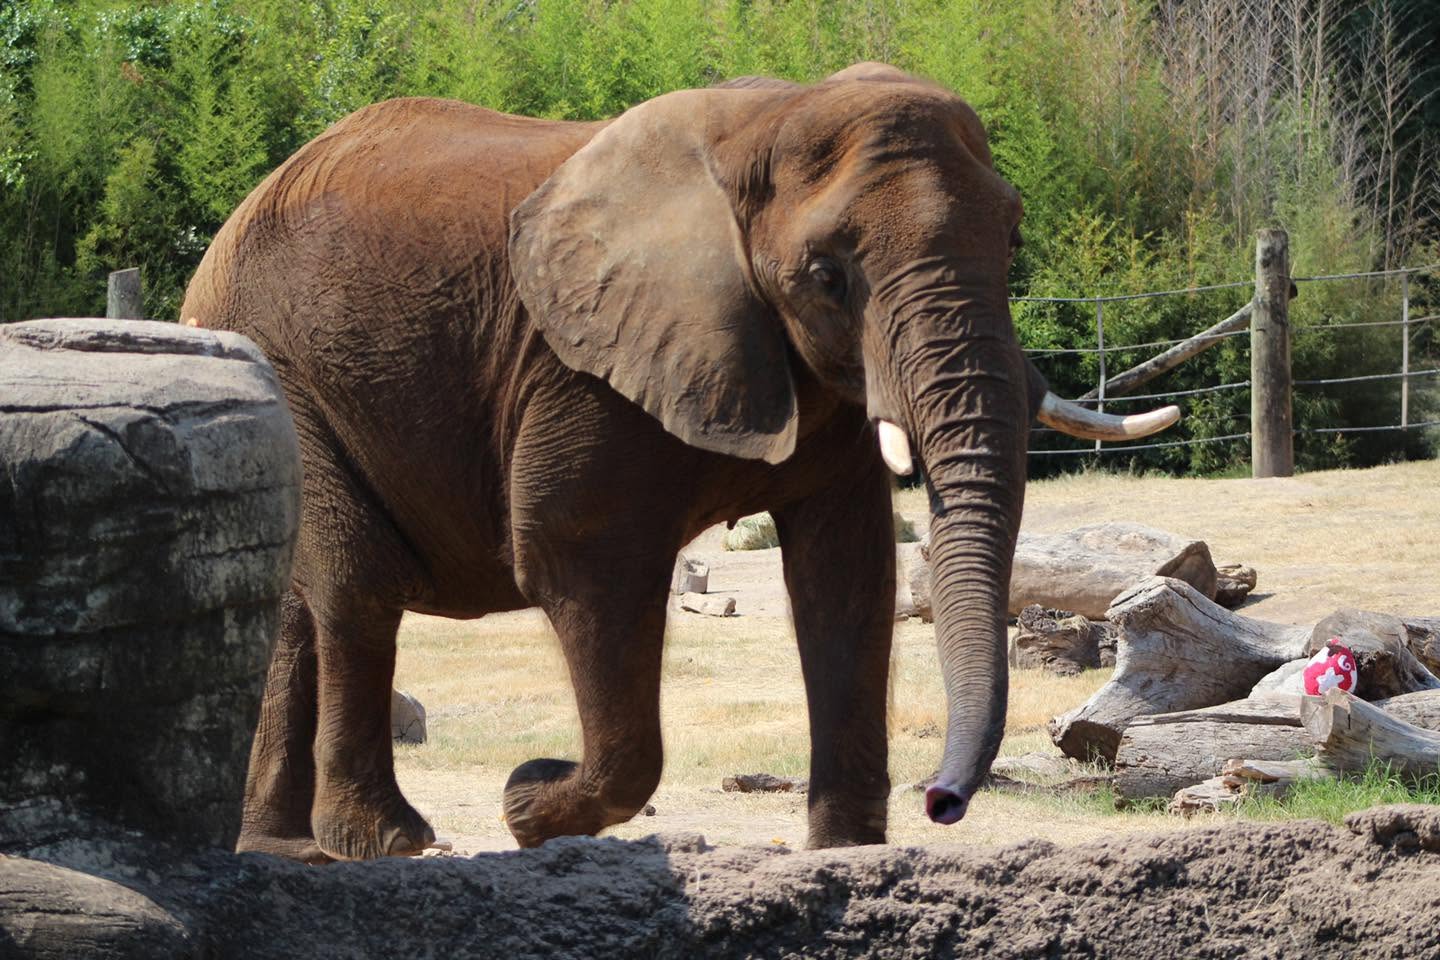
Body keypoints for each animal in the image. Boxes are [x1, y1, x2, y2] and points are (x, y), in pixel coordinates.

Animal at [181, 61, 1177, 862]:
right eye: (827, 275)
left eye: (1012, 240)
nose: (942, 802)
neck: (769, 122)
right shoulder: (579, 374)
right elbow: (578, 558)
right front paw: (525, 804)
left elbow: (847, 574)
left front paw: (846, 854)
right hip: (285, 374)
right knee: (356, 593)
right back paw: (387, 843)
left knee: (296, 608)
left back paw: (283, 851)